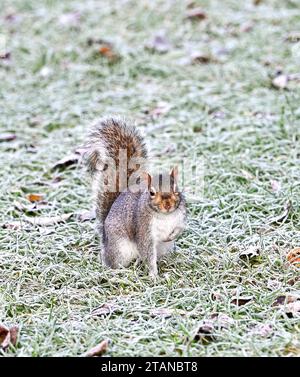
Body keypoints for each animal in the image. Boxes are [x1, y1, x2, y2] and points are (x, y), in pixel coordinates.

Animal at [84, 117, 186, 276]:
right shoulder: (144, 230)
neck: (165, 216)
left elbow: (179, 228)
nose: (167, 205)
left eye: (176, 189)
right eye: (151, 193)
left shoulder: (180, 217)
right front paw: (154, 275)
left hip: (164, 248)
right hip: (120, 249)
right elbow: (147, 253)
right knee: (114, 262)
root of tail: (105, 238)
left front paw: (172, 235)